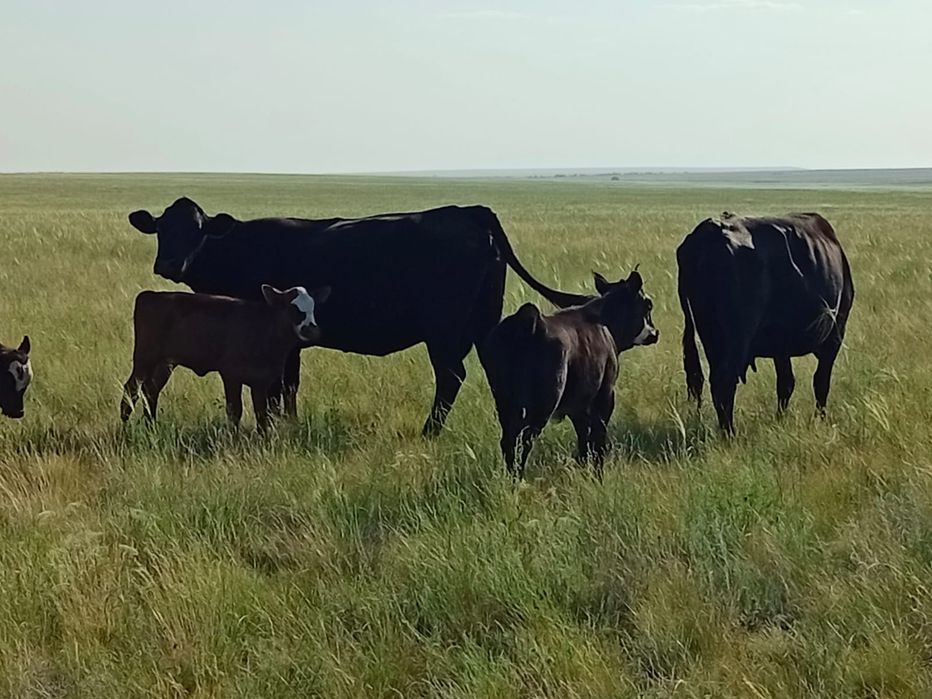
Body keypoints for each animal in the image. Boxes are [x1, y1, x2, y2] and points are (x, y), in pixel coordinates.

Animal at [121, 285, 330, 431]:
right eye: (293, 308)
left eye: (313, 307)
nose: (312, 330)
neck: (264, 329)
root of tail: (151, 295)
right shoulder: (231, 374)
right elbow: (235, 411)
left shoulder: (262, 380)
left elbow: (262, 414)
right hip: (144, 358)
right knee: (131, 391)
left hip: (165, 363)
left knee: (150, 392)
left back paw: (151, 428)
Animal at [480, 270, 659, 479]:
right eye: (648, 304)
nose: (655, 333)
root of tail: (529, 321)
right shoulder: (605, 396)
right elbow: (598, 440)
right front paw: (598, 476)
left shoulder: (578, 406)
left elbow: (584, 441)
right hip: (544, 402)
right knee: (523, 440)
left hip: (504, 400)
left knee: (509, 441)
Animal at [677, 212, 855, 434]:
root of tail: (709, 232)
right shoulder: (835, 334)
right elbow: (821, 381)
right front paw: (819, 419)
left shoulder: (781, 345)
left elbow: (786, 383)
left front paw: (781, 419)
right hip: (736, 337)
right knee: (723, 381)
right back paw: (730, 433)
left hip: (708, 332)